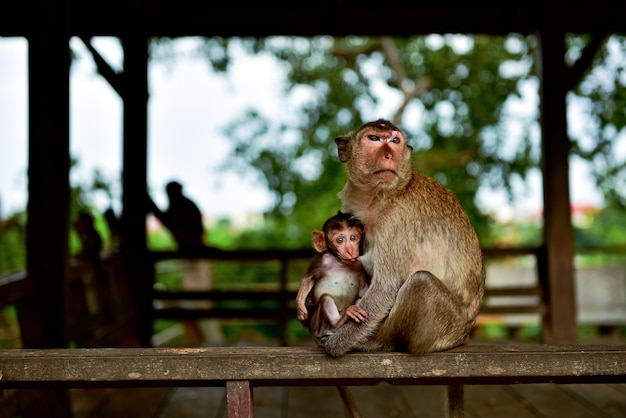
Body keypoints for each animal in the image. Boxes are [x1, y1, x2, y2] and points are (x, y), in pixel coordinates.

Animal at [294, 211, 368, 344]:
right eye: (340, 240)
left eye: (353, 238)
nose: (350, 250)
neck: (340, 263)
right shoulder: (322, 259)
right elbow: (308, 278)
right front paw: (300, 306)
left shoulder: (360, 265)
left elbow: (363, 291)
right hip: (316, 326)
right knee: (326, 299)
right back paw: (340, 321)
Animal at [324, 119, 486, 358]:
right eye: (374, 138)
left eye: (394, 141)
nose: (389, 155)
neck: (383, 194)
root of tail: (464, 335)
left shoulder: (396, 220)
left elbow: (385, 287)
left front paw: (335, 343)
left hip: (444, 328)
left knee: (421, 282)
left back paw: (377, 343)